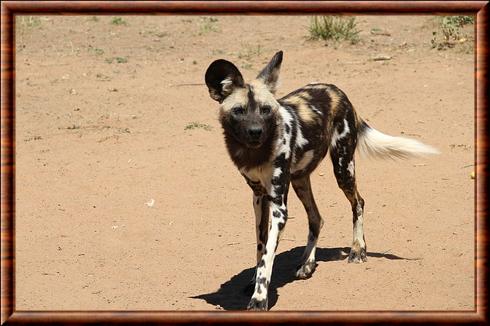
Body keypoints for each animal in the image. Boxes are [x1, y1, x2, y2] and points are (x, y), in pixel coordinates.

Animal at [203, 51, 436, 310]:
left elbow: (267, 258)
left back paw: (358, 250)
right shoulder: (259, 197)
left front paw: (260, 298)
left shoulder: (278, 206)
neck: (255, 153)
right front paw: (254, 281)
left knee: (358, 202)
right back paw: (307, 263)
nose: (256, 131)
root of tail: (337, 90)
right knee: (317, 217)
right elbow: (261, 247)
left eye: (265, 110)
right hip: (300, 180)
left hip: (342, 169)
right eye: (239, 111)